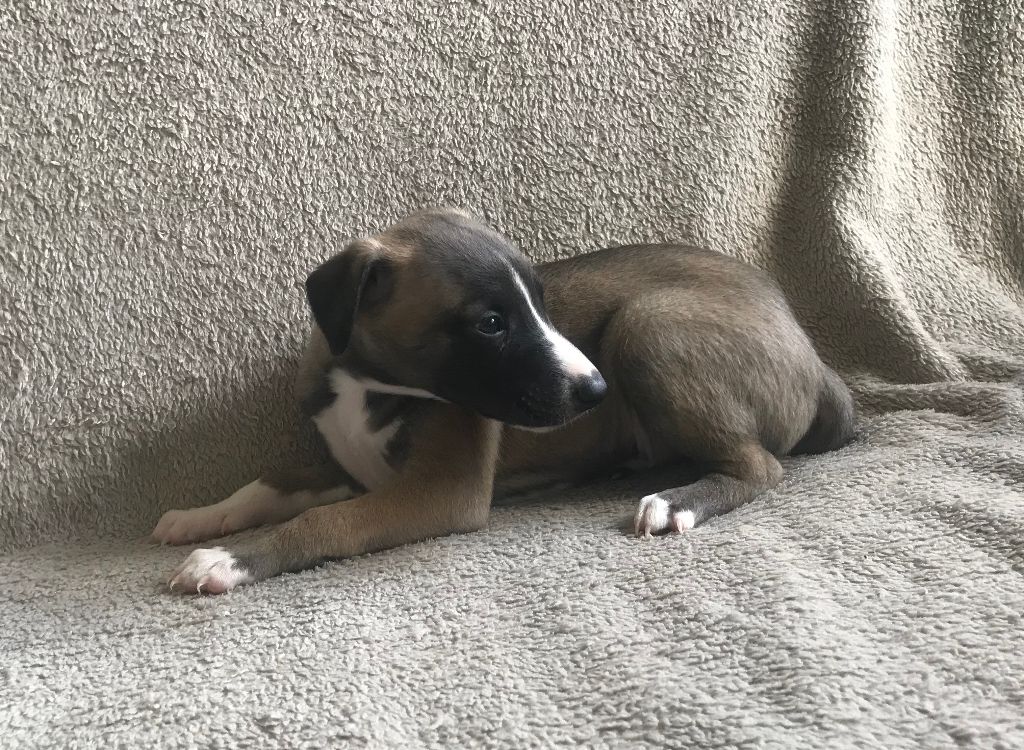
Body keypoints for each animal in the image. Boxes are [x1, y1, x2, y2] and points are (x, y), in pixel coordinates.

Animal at [155, 208, 855, 593]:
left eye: (543, 303)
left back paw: (676, 501)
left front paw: (231, 561)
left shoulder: (442, 490)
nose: (597, 391)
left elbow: (321, 522)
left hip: (649, 324)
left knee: (760, 466)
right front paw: (198, 517)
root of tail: (816, 358)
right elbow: (267, 484)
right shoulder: (346, 465)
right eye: (491, 324)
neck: (370, 383)